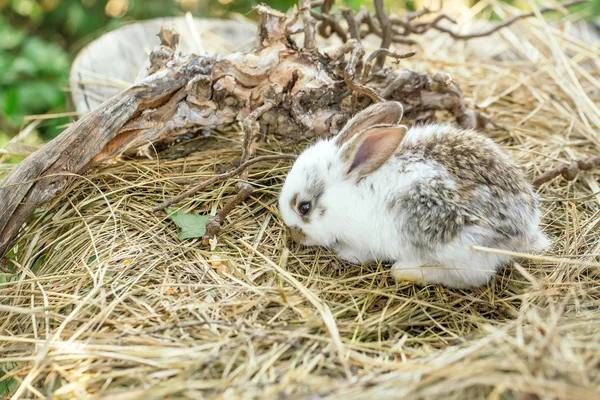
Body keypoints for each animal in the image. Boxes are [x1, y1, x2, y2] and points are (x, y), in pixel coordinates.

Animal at [276, 100, 548, 288]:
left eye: (304, 207)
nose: (293, 236)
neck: (349, 192)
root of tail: (525, 232)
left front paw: (346, 254)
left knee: (472, 277)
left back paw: (405, 270)